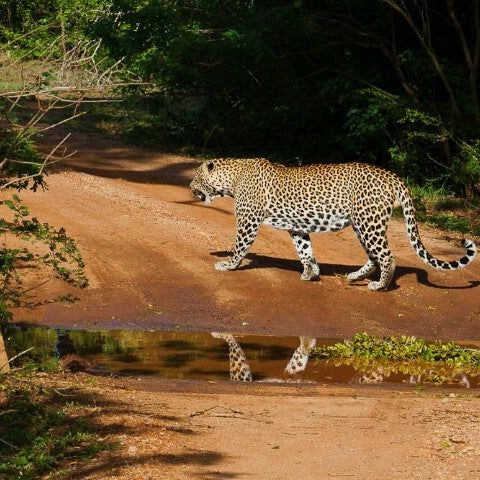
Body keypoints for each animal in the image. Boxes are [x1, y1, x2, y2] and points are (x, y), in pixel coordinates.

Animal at [190, 159, 476, 290]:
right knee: (374, 256)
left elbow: (240, 246)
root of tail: (393, 176)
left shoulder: (248, 221)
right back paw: (355, 277)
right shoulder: (297, 226)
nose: (190, 187)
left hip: (368, 222)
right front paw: (311, 273)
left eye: (195, 177)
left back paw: (380, 286)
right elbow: (305, 250)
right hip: (362, 224)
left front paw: (228, 265)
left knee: (387, 256)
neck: (231, 179)